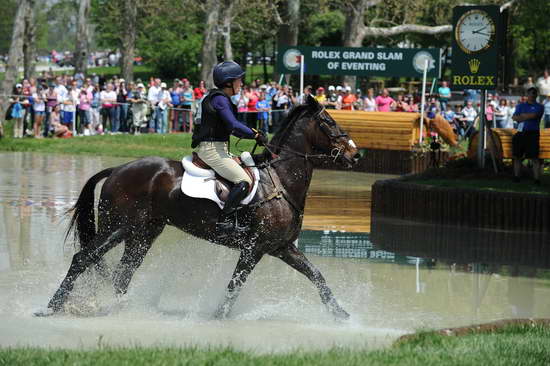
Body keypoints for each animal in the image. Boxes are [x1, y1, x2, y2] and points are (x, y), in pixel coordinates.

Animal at [40, 96, 362, 318]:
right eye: (329, 122)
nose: (356, 155)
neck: (281, 181)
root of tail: (118, 169)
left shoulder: (281, 247)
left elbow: (316, 276)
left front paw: (341, 314)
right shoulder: (254, 249)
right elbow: (234, 287)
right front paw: (218, 317)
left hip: (143, 233)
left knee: (123, 273)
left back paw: (118, 310)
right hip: (117, 227)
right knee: (83, 259)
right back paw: (51, 307)